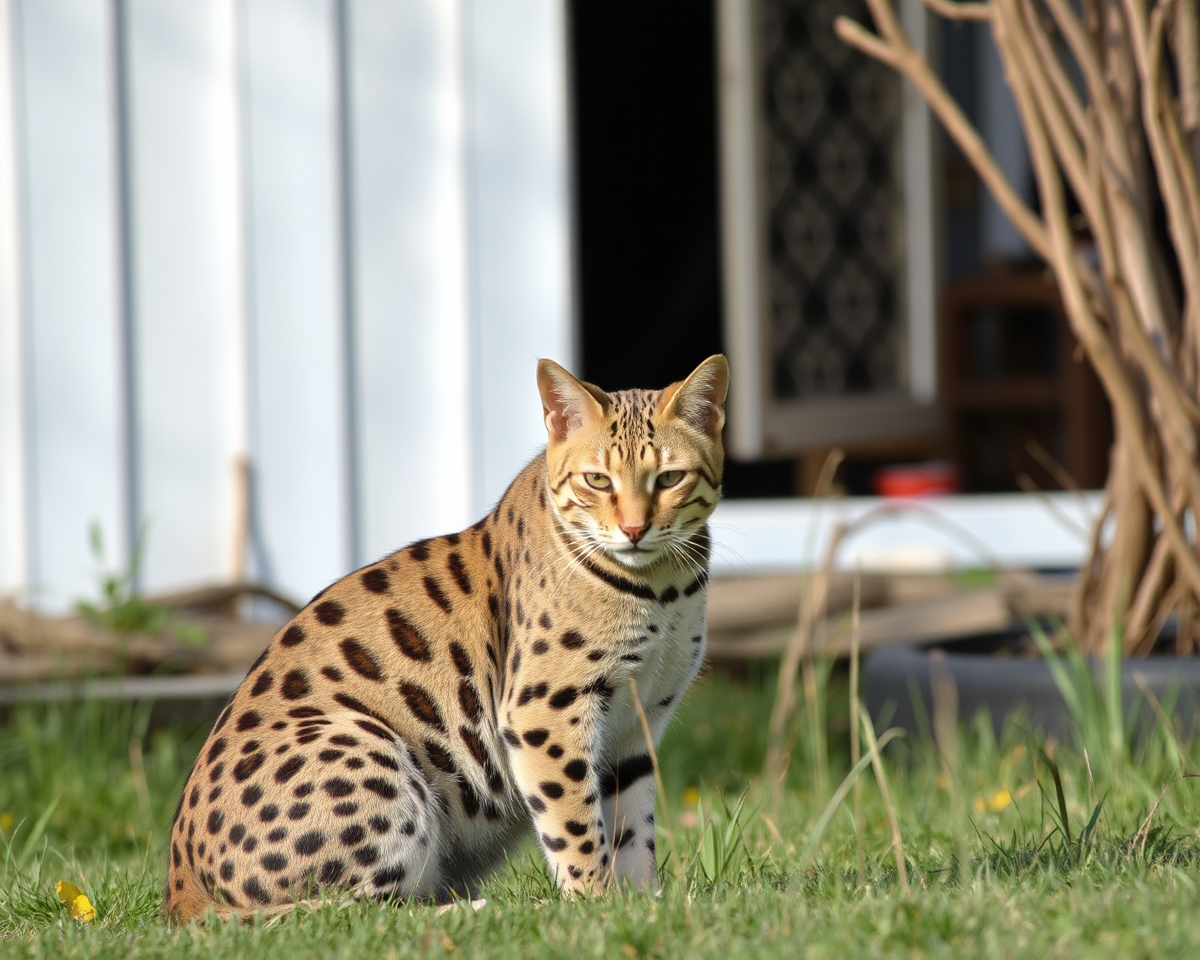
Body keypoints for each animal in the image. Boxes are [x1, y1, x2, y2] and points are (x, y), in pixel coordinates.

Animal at [166, 355, 729, 921]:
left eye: (670, 478)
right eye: (597, 480)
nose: (634, 530)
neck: (662, 588)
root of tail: (179, 892)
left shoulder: (637, 723)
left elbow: (632, 829)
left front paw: (645, 905)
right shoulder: (544, 709)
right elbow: (575, 824)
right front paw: (595, 905)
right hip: (369, 748)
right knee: (352, 911)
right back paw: (483, 909)